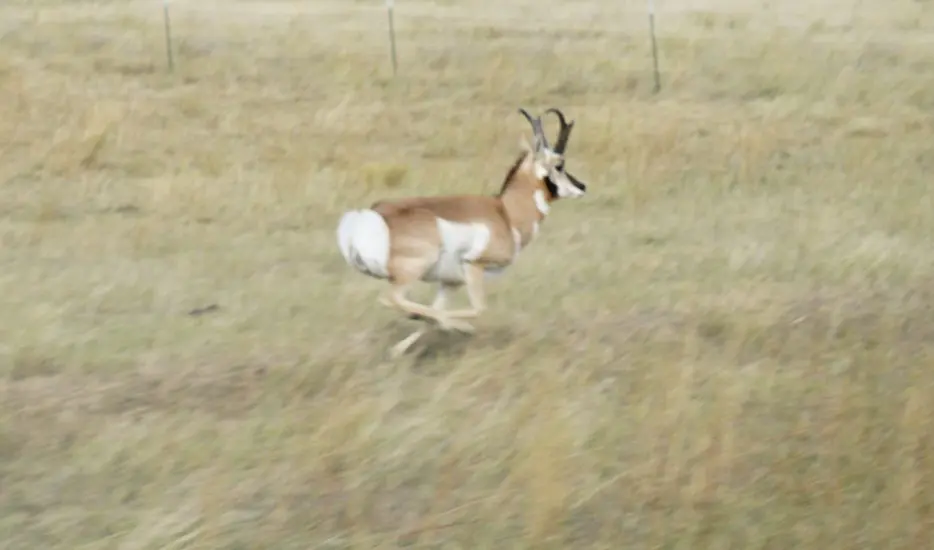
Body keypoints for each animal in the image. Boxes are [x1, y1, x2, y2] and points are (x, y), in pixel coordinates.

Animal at [336, 108, 584, 360]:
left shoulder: (450, 282)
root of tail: (369, 216)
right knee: (391, 299)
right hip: (410, 273)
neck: (505, 213)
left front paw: (397, 350)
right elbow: (477, 309)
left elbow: (434, 314)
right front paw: (464, 328)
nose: (582, 186)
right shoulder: (474, 266)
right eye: (560, 165)